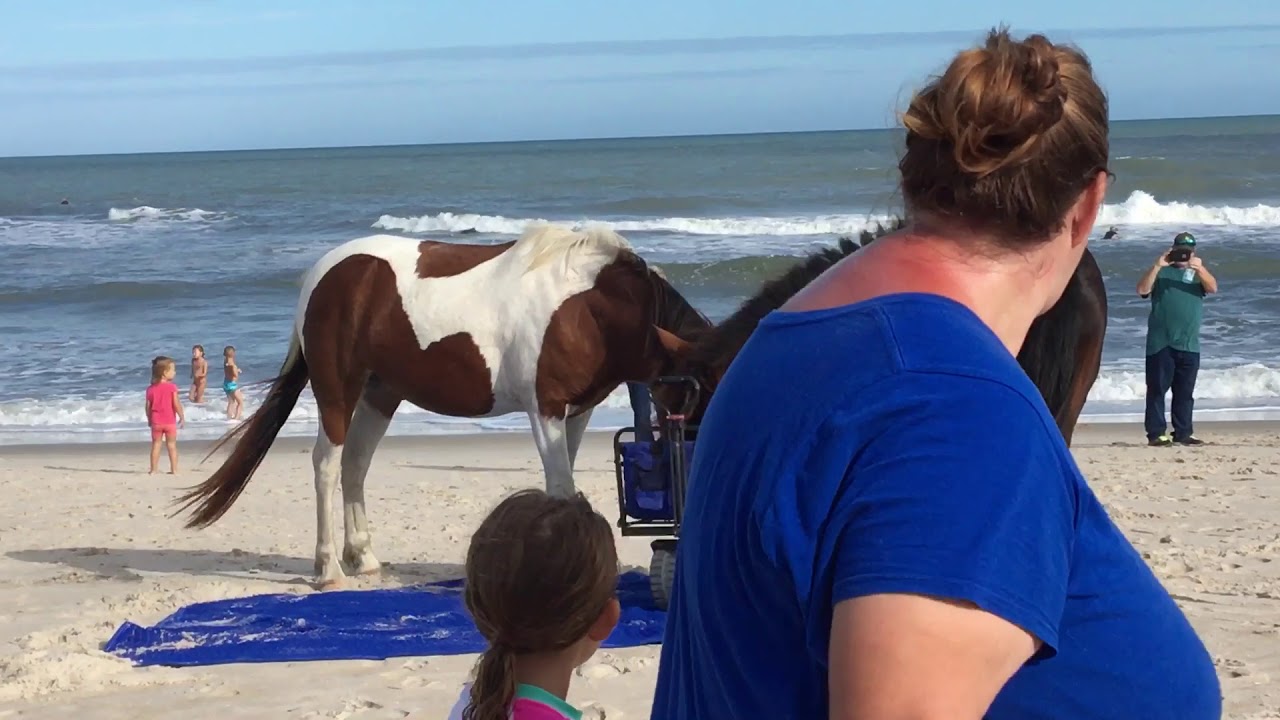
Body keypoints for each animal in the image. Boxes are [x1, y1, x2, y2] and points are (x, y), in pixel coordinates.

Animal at [173, 223, 709, 588]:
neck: (586, 305)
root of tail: (325, 272)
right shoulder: (545, 409)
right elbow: (561, 488)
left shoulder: (577, 412)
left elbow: (566, 490)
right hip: (338, 391)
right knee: (326, 464)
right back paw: (328, 568)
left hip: (381, 394)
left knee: (355, 465)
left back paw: (362, 557)